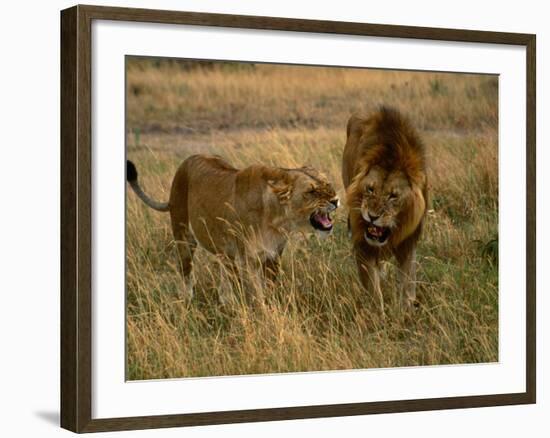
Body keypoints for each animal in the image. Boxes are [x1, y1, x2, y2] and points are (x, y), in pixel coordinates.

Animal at [128, 155, 340, 304]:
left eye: (328, 184)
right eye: (311, 191)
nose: (336, 200)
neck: (277, 219)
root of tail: (187, 160)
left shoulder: (274, 255)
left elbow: (269, 289)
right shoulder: (249, 259)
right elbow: (256, 294)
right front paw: (263, 317)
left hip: (225, 250)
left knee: (225, 272)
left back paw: (226, 301)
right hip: (183, 236)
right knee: (186, 272)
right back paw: (188, 301)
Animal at [342, 108, 430, 316]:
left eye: (393, 196)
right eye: (370, 189)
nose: (372, 217)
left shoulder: (408, 242)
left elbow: (407, 282)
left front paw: (406, 314)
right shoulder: (362, 242)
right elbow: (374, 290)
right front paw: (378, 318)